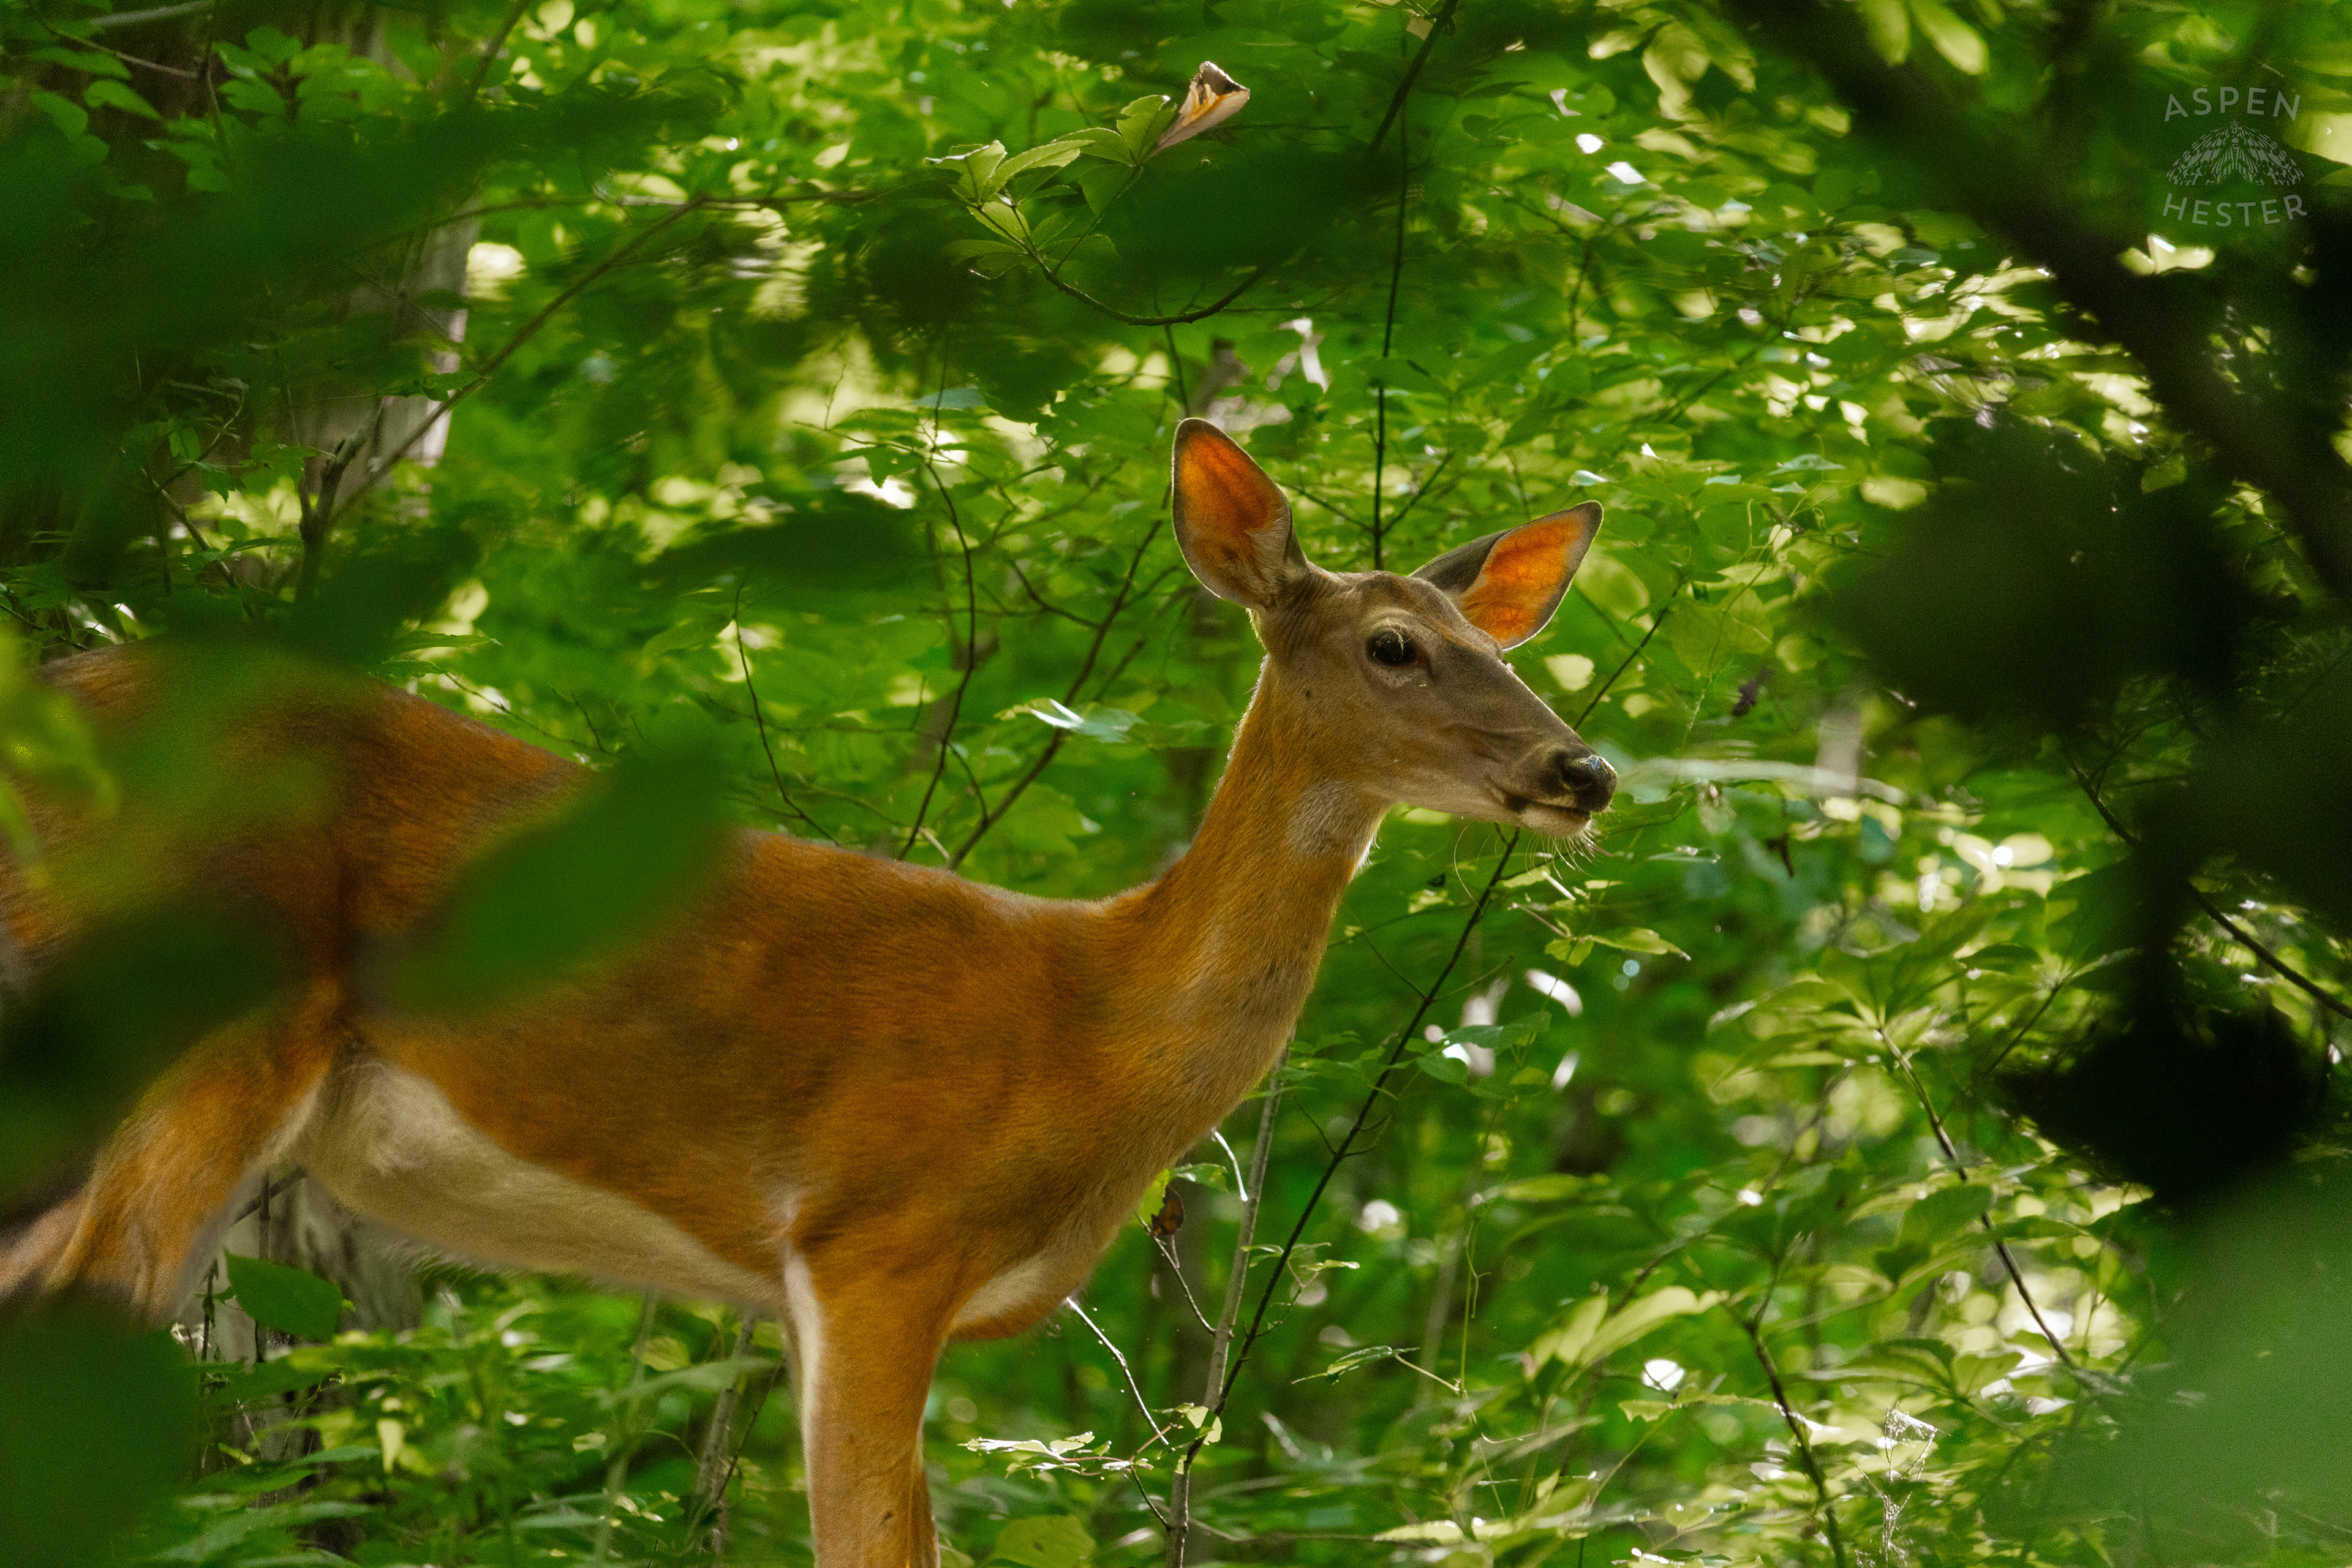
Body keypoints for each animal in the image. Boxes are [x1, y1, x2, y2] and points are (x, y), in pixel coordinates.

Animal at [0, 418, 1614, 1566]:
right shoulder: (873, 1234)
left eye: (1501, 643)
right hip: (186, 1016)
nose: (1582, 768)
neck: (1095, 1023)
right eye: (1393, 646)